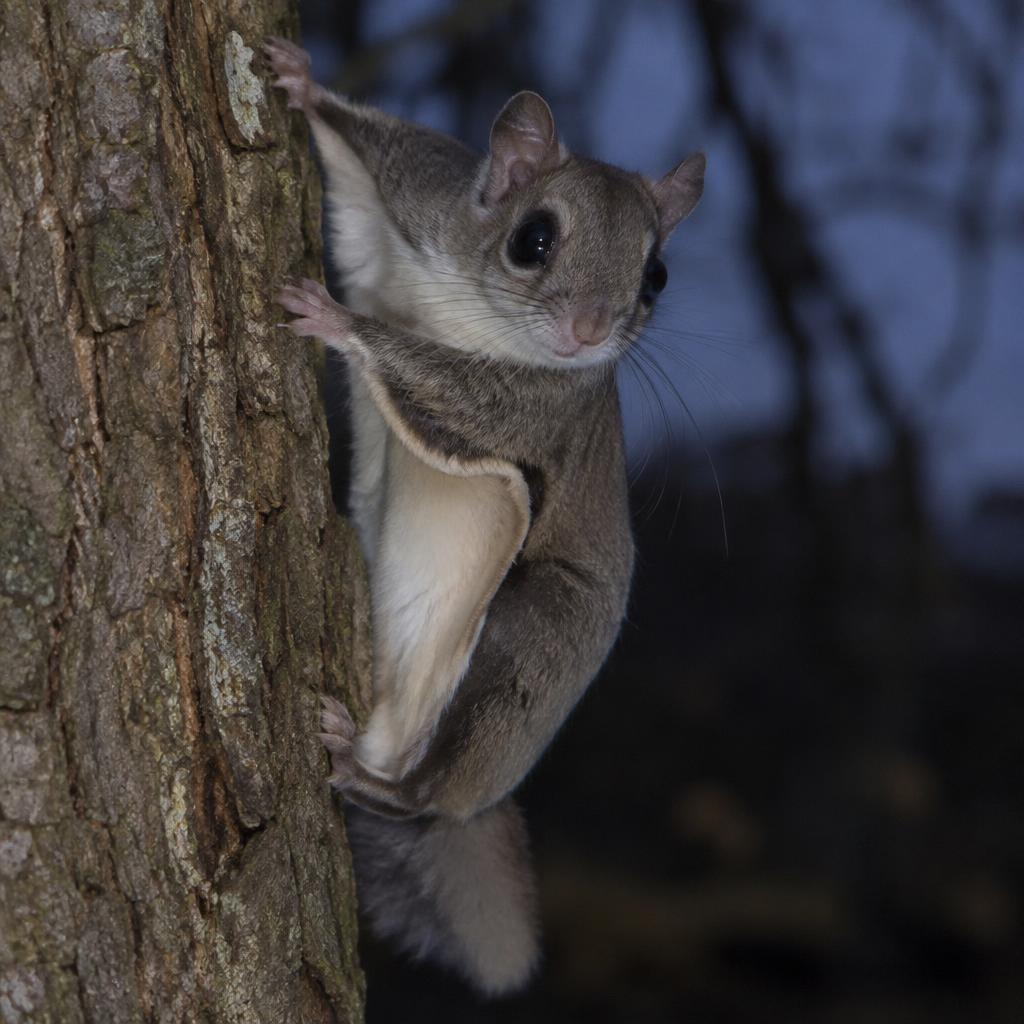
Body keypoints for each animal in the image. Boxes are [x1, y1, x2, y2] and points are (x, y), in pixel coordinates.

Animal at [265, 37, 705, 996]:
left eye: (656, 276)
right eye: (532, 239)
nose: (589, 331)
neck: (476, 310)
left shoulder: (534, 412)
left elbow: (445, 381)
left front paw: (337, 320)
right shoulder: (423, 202)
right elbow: (376, 149)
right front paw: (303, 84)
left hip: (529, 648)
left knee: (430, 788)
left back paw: (367, 774)